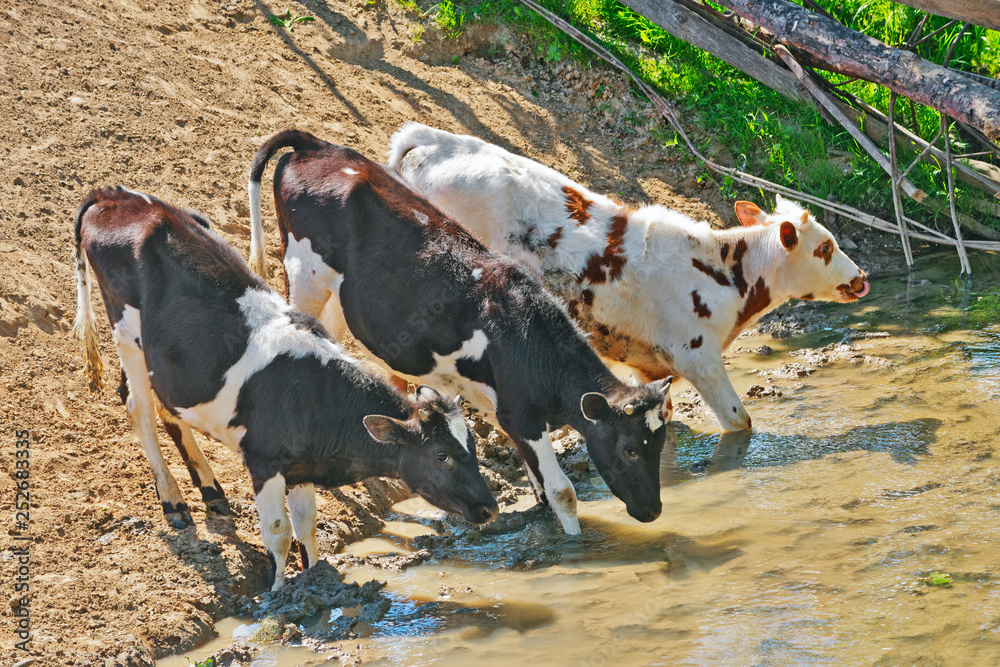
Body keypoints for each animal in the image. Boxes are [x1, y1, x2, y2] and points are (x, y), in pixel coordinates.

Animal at [73, 185, 496, 588]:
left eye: (473, 446)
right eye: (441, 455)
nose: (489, 507)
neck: (313, 393)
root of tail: (115, 197)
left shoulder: (301, 464)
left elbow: (306, 526)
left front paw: (312, 579)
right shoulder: (265, 462)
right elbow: (278, 534)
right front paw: (277, 595)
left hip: (162, 361)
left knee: (166, 405)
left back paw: (211, 490)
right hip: (126, 331)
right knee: (139, 410)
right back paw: (174, 503)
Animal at [248, 129, 672, 536]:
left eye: (660, 443)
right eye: (631, 448)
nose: (653, 511)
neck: (527, 338)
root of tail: (317, 145)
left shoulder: (498, 408)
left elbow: (540, 490)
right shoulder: (522, 415)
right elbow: (562, 492)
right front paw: (574, 543)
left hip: (339, 296)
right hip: (304, 271)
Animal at [386, 124, 872, 434]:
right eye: (825, 248)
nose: (861, 278)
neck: (722, 272)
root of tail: (433, 142)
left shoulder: (648, 368)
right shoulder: (698, 357)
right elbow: (739, 421)